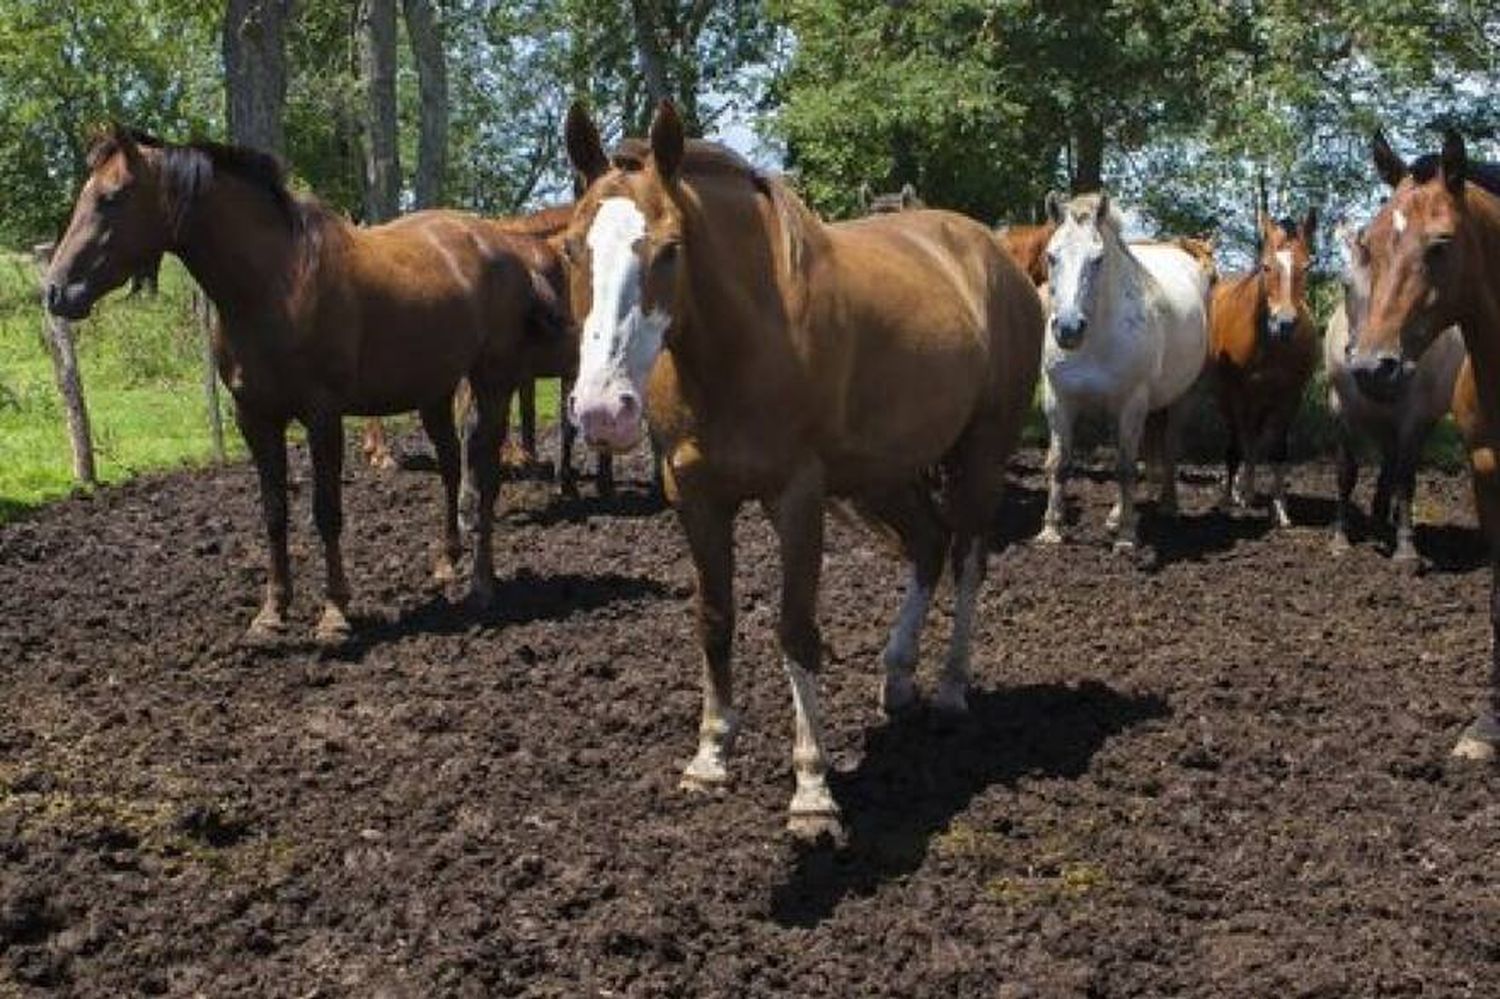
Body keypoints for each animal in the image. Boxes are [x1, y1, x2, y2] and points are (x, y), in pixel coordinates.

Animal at [45, 126, 552, 639]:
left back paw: (482, 584)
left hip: (492, 384)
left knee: (483, 476)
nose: (55, 290)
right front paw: (272, 611)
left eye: (112, 197)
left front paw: (334, 612)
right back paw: (447, 562)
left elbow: (326, 511)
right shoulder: (254, 417)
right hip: (434, 390)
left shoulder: (322, 416)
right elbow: (274, 512)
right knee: (451, 466)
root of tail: (502, 244)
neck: (274, 283)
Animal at [561, 101, 1044, 834]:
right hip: (884, 474)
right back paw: (897, 676)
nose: (601, 410)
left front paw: (812, 790)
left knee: (967, 558)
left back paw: (951, 688)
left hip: (979, 456)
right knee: (929, 545)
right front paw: (710, 756)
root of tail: (994, 256)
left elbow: (795, 629)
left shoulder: (798, 497)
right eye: (570, 249)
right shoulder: (695, 497)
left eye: (670, 249)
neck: (740, 347)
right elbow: (715, 618)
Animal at [1212, 207, 1320, 525]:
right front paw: (1241, 496)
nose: (1284, 323)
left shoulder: (1290, 396)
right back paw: (1234, 492)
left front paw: (1281, 509)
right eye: (1267, 267)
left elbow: (1277, 449)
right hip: (1228, 397)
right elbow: (1243, 443)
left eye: (1306, 267)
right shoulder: (1238, 393)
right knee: (1237, 439)